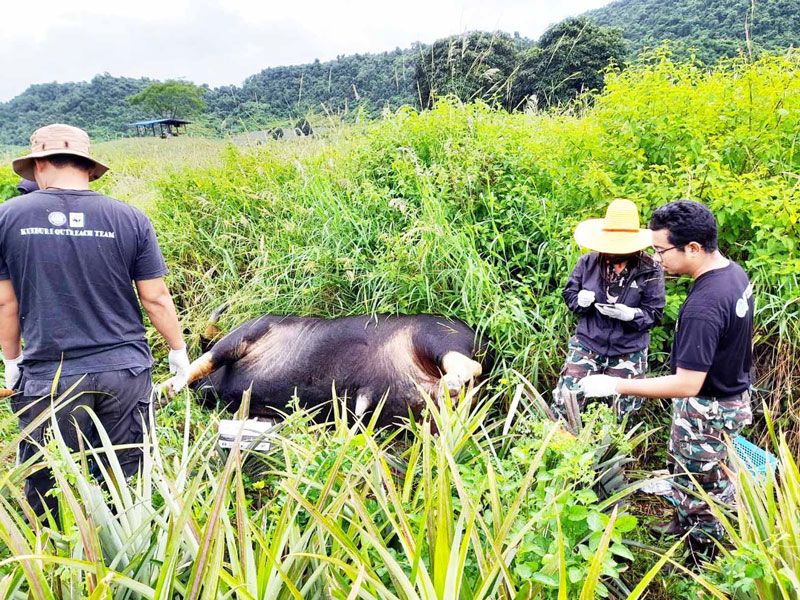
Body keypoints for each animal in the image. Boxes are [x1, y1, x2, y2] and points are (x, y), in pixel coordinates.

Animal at [161, 310, 492, 426]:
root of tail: (481, 342)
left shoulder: (249, 332)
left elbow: (206, 359)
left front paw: (166, 387)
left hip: (432, 337)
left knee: (468, 366)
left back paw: (449, 385)